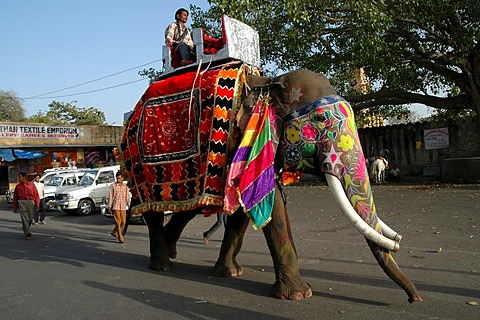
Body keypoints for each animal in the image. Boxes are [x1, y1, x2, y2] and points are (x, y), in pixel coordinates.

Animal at [119, 60, 420, 302]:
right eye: (321, 118)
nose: (414, 299)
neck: (268, 85)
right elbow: (270, 203)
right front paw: (299, 295)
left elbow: (241, 209)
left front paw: (230, 273)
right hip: (139, 167)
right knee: (152, 210)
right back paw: (161, 265)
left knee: (188, 208)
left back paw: (171, 252)